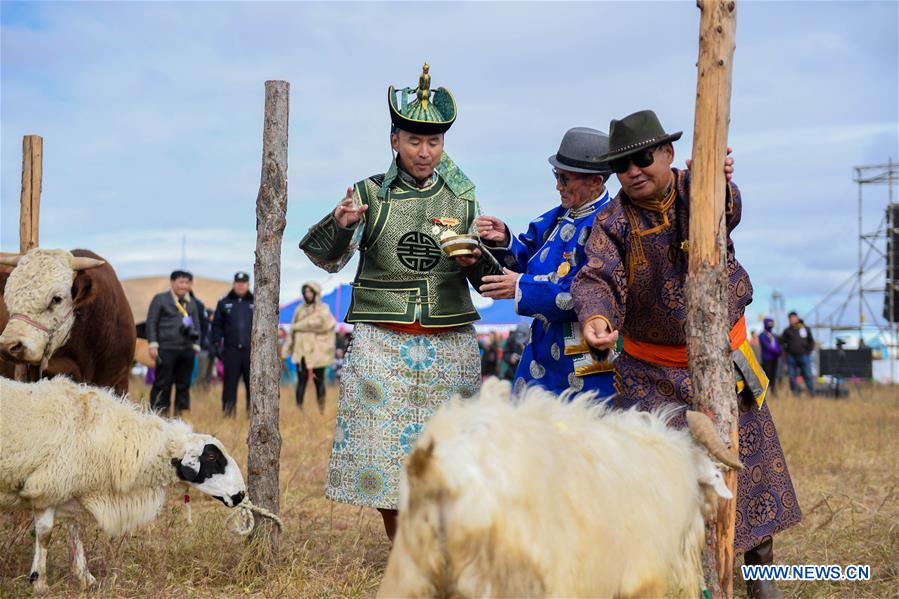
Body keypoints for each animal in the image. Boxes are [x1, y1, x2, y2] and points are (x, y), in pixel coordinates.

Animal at [0, 378, 246, 592]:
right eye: (212, 457)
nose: (241, 494)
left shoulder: (68, 488)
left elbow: (74, 531)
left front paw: (86, 578)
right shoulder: (46, 486)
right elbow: (45, 534)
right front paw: (40, 582)